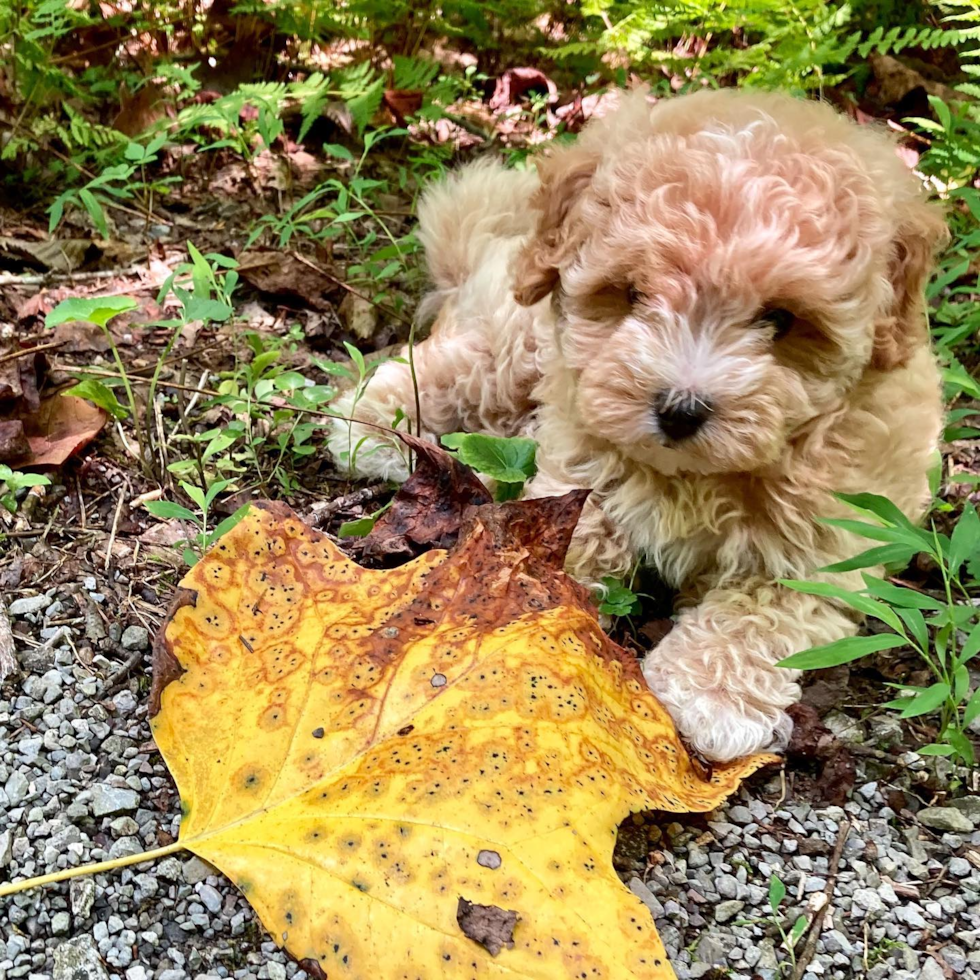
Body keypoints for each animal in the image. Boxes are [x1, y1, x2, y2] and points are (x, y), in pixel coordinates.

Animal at [332, 88, 948, 760]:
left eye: (782, 318)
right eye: (631, 293)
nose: (679, 409)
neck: (697, 477)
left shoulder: (835, 540)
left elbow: (768, 604)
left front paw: (711, 694)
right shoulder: (583, 453)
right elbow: (573, 529)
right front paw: (525, 604)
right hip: (522, 342)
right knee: (465, 363)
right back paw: (372, 424)